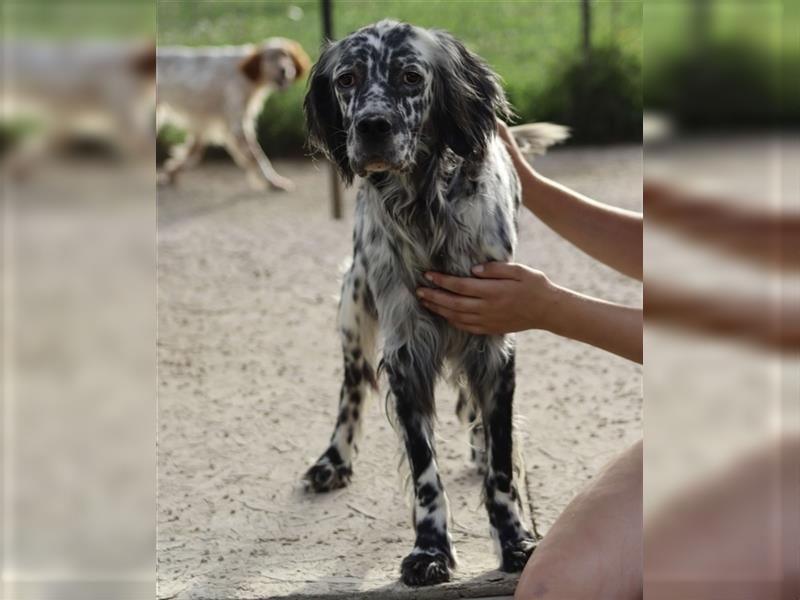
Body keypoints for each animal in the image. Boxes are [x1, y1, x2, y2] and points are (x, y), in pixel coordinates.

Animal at [156, 37, 310, 191]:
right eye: (270, 57)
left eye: (287, 56)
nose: (284, 70)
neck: (247, 75)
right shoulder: (237, 126)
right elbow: (257, 156)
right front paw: (273, 181)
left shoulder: (203, 124)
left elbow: (191, 153)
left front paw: (170, 173)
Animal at [304, 19, 564, 584]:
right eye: (347, 79)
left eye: (410, 76)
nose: (372, 128)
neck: (426, 207)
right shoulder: (405, 353)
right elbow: (425, 472)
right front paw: (430, 550)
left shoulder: (495, 342)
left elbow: (502, 466)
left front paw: (516, 541)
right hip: (354, 305)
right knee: (352, 386)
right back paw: (333, 460)